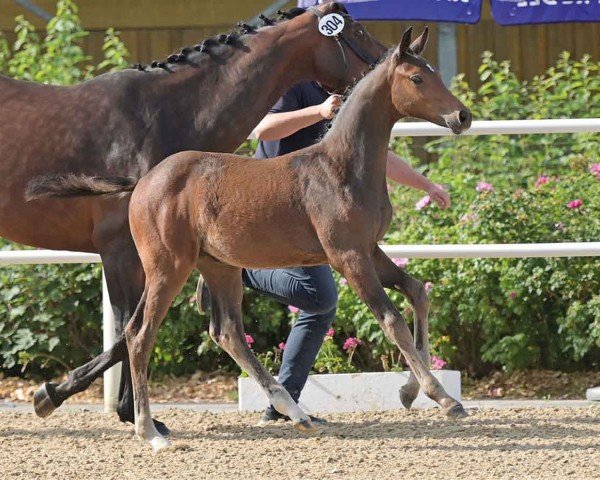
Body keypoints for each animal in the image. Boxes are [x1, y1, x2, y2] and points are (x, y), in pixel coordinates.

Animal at [29, 29, 474, 450]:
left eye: (434, 72)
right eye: (416, 78)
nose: (463, 115)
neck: (341, 167)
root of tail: (143, 182)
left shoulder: (369, 250)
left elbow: (417, 292)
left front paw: (409, 390)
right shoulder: (348, 257)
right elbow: (392, 320)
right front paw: (443, 397)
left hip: (219, 266)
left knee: (225, 331)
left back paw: (295, 412)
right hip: (168, 268)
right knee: (140, 334)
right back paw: (149, 431)